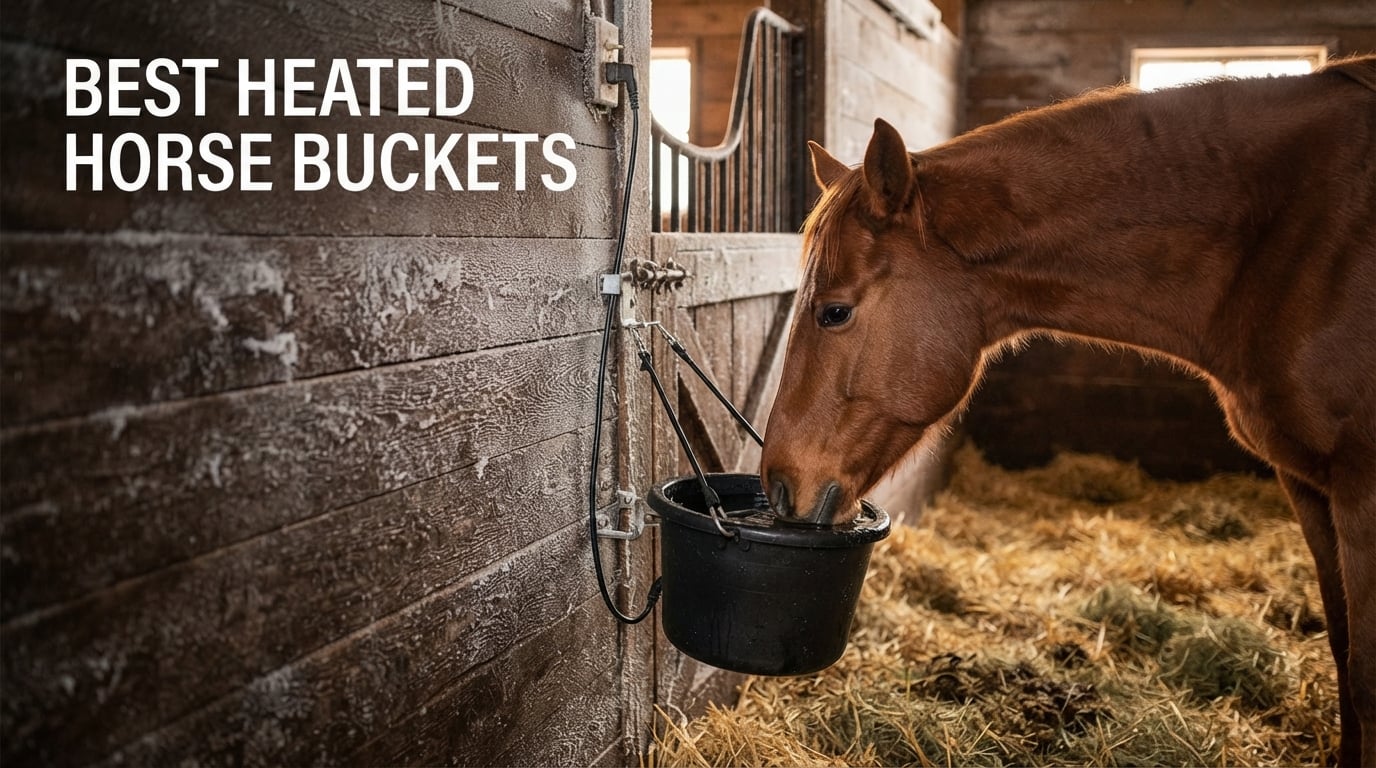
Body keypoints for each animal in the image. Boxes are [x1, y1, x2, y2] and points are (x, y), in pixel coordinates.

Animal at [760, 56, 1376, 765]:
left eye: (834, 311)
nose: (778, 485)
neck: (1296, 239)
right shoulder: (1308, 485)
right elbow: (1342, 651)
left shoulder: (1362, 492)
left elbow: (1366, 680)